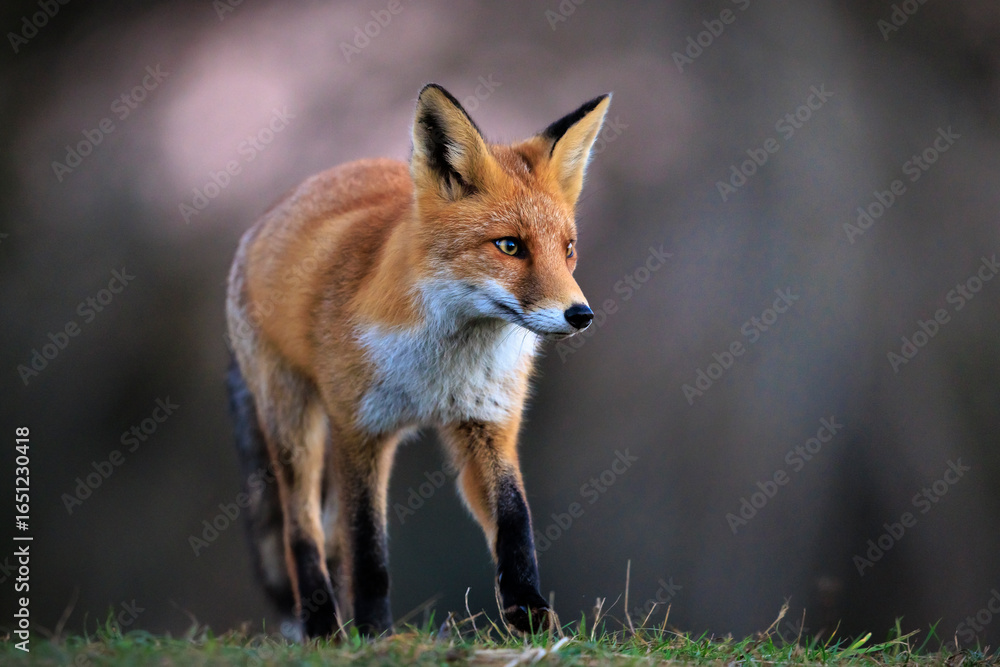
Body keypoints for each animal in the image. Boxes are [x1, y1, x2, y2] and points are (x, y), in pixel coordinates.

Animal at [225, 83, 611, 639]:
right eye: (510, 246)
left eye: (568, 250)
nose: (581, 315)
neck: (440, 372)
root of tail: (272, 210)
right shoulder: (360, 430)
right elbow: (368, 550)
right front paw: (373, 634)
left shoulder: (486, 423)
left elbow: (515, 521)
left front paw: (530, 612)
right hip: (296, 425)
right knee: (303, 531)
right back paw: (323, 628)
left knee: (329, 534)